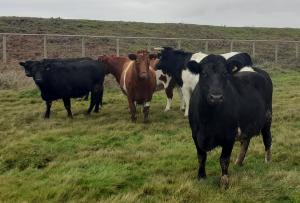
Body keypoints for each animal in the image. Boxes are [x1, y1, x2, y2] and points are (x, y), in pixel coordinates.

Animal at [189, 54, 274, 189]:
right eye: (203, 73)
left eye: (224, 73)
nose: (216, 97)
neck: (208, 120)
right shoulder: (195, 134)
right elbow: (201, 156)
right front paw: (201, 177)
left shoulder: (229, 135)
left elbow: (224, 159)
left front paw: (224, 181)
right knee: (246, 141)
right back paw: (238, 162)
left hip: (267, 118)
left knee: (267, 139)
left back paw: (267, 160)